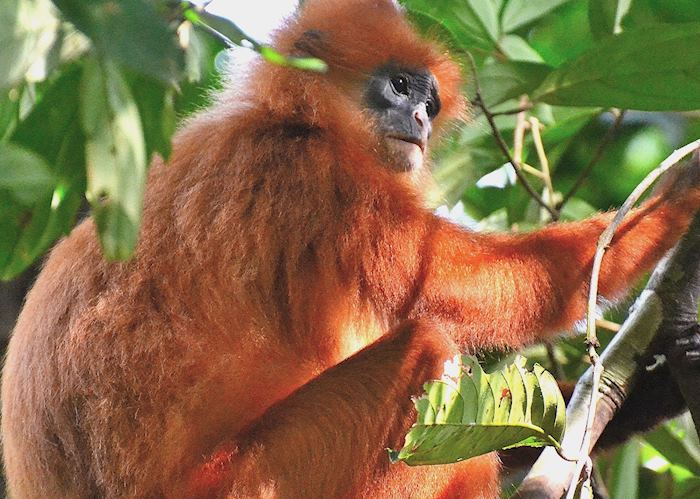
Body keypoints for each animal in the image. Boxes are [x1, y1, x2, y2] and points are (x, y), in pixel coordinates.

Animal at [3, 0, 700, 497]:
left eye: (430, 102)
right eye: (400, 86)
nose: (419, 121)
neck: (288, 123)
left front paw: (667, 377)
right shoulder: (319, 183)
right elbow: (482, 284)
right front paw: (677, 200)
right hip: (255, 484)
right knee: (429, 350)